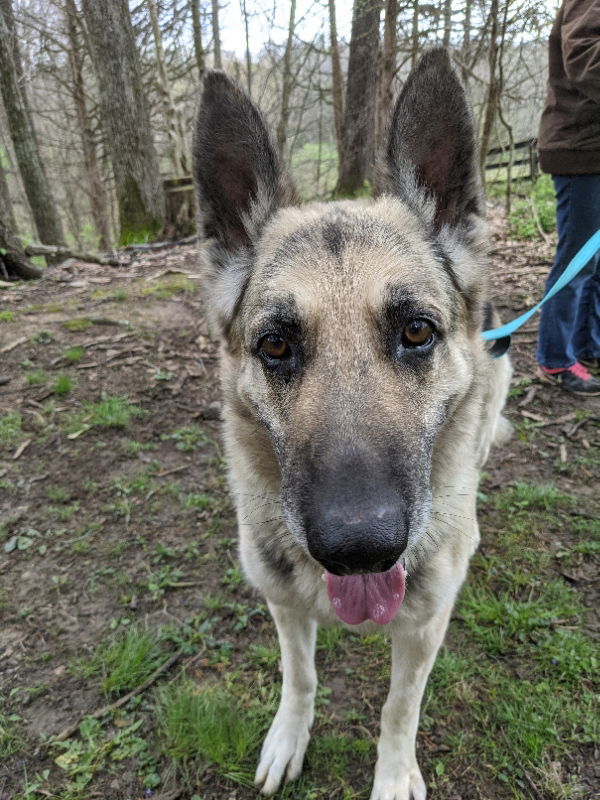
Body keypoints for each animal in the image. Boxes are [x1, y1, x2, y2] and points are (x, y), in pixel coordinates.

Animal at [192, 50, 510, 800]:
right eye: (275, 345)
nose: (360, 548)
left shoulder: (423, 630)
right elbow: (300, 677)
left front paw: (393, 775)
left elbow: (399, 708)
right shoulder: (284, 606)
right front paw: (289, 737)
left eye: (416, 331)